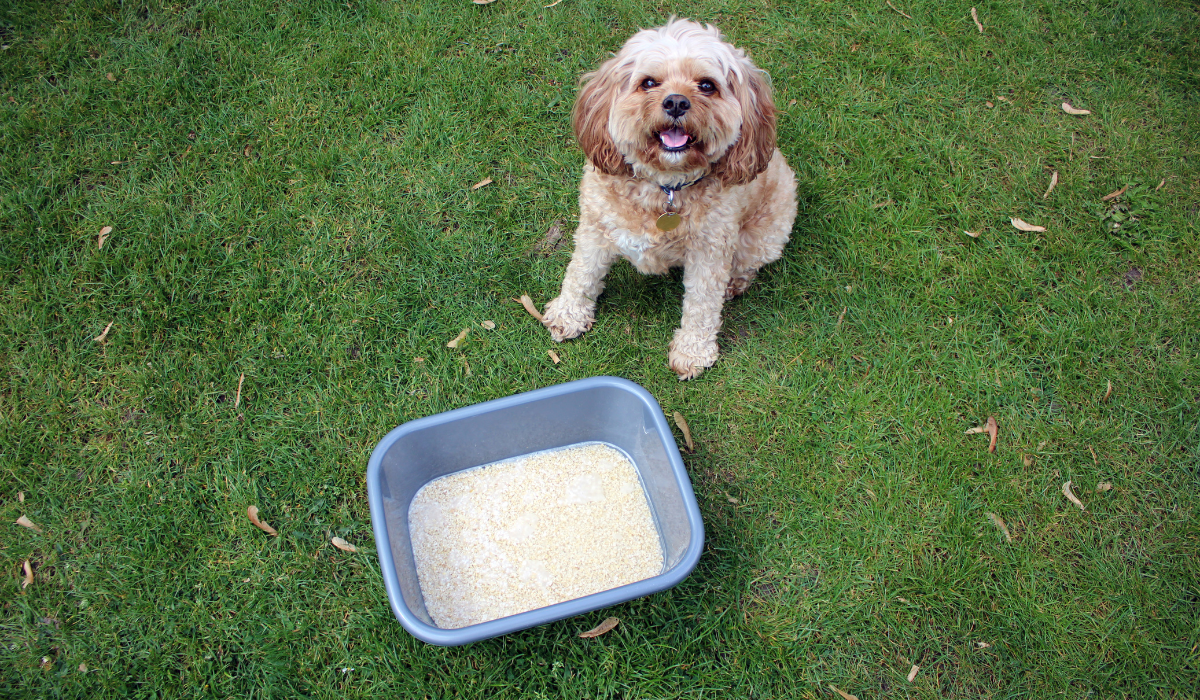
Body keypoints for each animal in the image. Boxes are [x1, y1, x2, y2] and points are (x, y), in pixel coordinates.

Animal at [544, 17, 796, 377]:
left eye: (707, 85)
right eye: (648, 82)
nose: (676, 102)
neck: (664, 188)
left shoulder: (710, 251)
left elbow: (702, 304)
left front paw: (693, 352)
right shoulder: (595, 227)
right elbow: (581, 272)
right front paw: (569, 313)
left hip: (764, 236)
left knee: (748, 265)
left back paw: (734, 284)